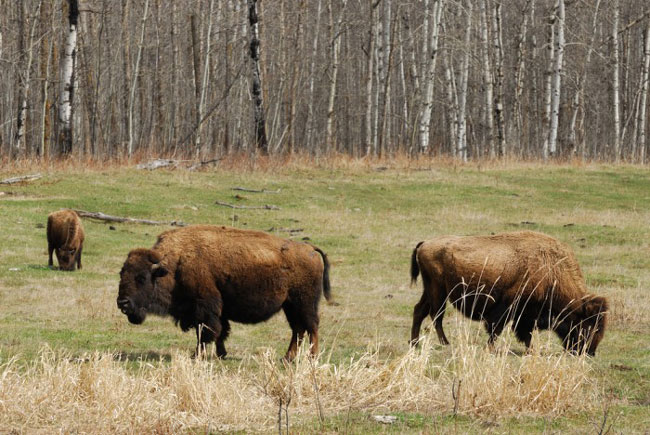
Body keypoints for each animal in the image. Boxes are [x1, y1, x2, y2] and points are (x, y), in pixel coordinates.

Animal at [117, 225, 331, 360]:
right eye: (122, 273)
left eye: (142, 278)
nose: (122, 303)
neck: (175, 264)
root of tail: (310, 248)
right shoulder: (217, 310)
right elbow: (220, 330)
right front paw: (221, 354)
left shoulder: (204, 306)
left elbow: (207, 331)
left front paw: (197, 355)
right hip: (290, 305)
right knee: (298, 329)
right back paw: (287, 358)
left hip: (305, 303)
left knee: (311, 327)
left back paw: (312, 357)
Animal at [410, 231, 608, 356]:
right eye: (589, 325)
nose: (590, 352)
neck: (552, 269)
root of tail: (425, 243)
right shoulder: (508, 309)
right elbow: (498, 330)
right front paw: (491, 349)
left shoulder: (526, 315)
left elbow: (524, 334)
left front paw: (530, 350)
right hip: (438, 291)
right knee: (436, 315)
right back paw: (444, 343)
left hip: (430, 290)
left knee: (420, 311)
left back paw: (415, 343)